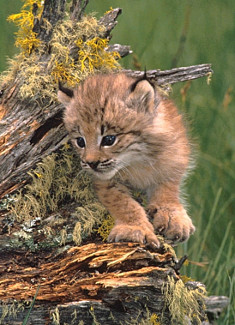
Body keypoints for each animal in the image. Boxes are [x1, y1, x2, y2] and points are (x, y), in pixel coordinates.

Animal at [58, 72, 195, 247]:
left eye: (109, 139)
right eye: (80, 141)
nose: (91, 163)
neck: (138, 161)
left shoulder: (176, 156)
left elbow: (168, 188)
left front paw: (171, 215)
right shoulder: (104, 180)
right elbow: (122, 202)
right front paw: (134, 229)